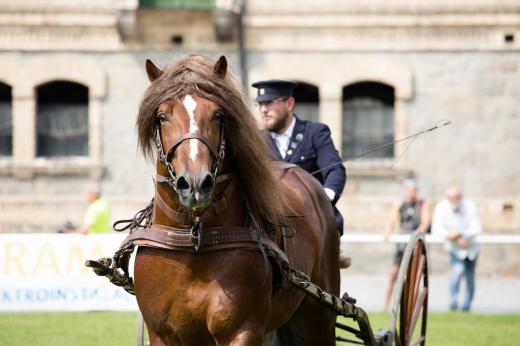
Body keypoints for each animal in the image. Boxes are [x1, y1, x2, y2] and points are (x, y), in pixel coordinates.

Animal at [133, 54, 342, 346]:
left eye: (218, 115)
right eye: (162, 116)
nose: (195, 183)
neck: (193, 242)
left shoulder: (242, 330)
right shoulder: (163, 334)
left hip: (319, 316)